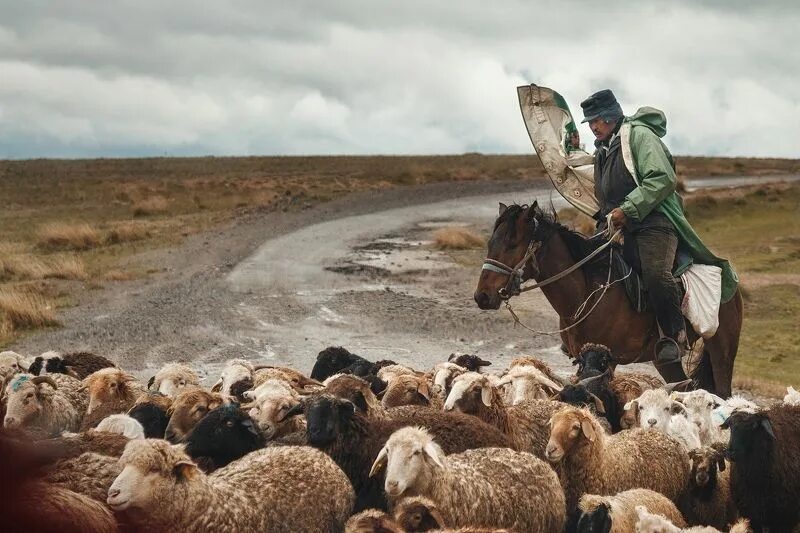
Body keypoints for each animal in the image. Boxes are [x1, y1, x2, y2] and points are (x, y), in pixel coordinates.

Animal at [472, 202, 740, 396]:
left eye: (512, 243)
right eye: (491, 242)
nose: (482, 296)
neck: (585, 293)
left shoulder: (607, 362)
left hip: (722, 350)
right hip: (664, 361)